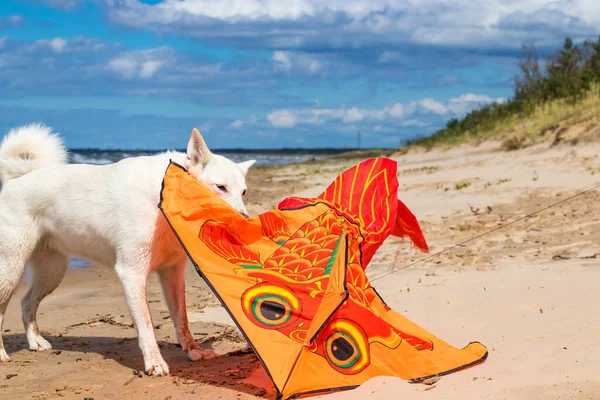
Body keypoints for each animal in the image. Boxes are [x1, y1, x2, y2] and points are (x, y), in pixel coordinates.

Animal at [0, 123, 255, 376]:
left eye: (243, 192)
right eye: (220, 187)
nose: (243, 224)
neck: (162, 197)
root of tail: (17, 179)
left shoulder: (172, 273)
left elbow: (181, 319)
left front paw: (193, 351)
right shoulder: (132, 273)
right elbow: (147, 325)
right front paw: (154, 363)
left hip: (52, 272)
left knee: (27, 302)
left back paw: (36, 342)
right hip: (12, 268)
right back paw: (2, 353)